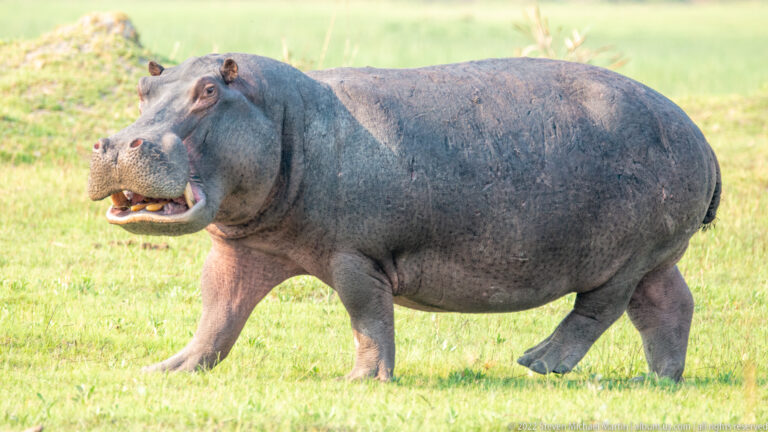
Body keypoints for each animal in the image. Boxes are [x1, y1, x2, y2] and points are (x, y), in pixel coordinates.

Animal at [88, 54, 721, 381]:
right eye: (144, 86)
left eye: (208, 91)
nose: (116, 144)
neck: (286, 115)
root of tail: (700, 136)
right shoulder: (243, 247)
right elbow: (217, 313)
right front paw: (166, 370)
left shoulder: (355, 256)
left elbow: (368, 317)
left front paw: (361, 382)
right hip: (656, 255)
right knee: (669, 305)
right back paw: (660, 379)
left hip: (623, 257)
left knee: (597, 310)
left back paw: (538, 363)